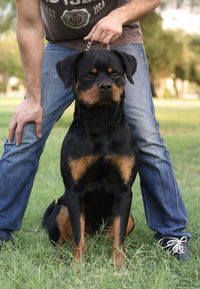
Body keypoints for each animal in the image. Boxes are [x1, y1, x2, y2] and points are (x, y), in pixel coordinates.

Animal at [42, 49, 138, 266]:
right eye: (88, 76)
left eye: (115, 74)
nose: (105, 86)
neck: (100, 123)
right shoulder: (74, 191)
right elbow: (78, 235)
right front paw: (78, 265)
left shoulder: (124, 191)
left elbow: (119, 236)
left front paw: (119, 265)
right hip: (62, 208)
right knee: (63, 238)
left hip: (129, 218)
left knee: (115, 234)